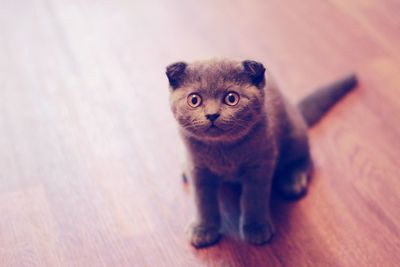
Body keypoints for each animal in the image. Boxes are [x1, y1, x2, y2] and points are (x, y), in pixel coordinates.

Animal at [165, 59, 356, 249]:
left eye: (231, 98)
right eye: (194, 100)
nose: (212, 115)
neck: (223, 151)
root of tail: (294, 108)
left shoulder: (261, 164)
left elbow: (254, 198)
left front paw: (256, 228)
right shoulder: (198, 169)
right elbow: (203, 202)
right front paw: (203, 229)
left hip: (294, 134)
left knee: (305, 157)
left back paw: (292, 181)